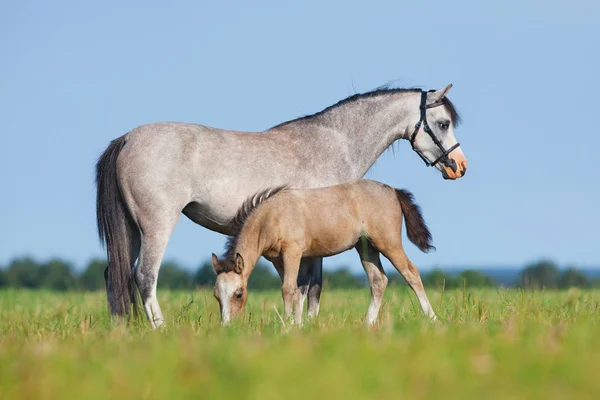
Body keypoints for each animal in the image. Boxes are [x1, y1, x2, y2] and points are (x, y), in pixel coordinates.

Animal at [211, 180, 436, 326]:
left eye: (239, 294)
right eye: (216, 295)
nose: (227, 327)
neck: (271, 216)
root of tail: (393, 190)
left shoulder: (292, 252)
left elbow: (288, 289)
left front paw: (287, 327)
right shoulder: (278, 260)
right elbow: (297, 289)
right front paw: (297, 325)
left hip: (388, 243)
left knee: (411, 273)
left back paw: (432, 318)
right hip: (366, 247)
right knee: (378, 280)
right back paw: (368, 324)